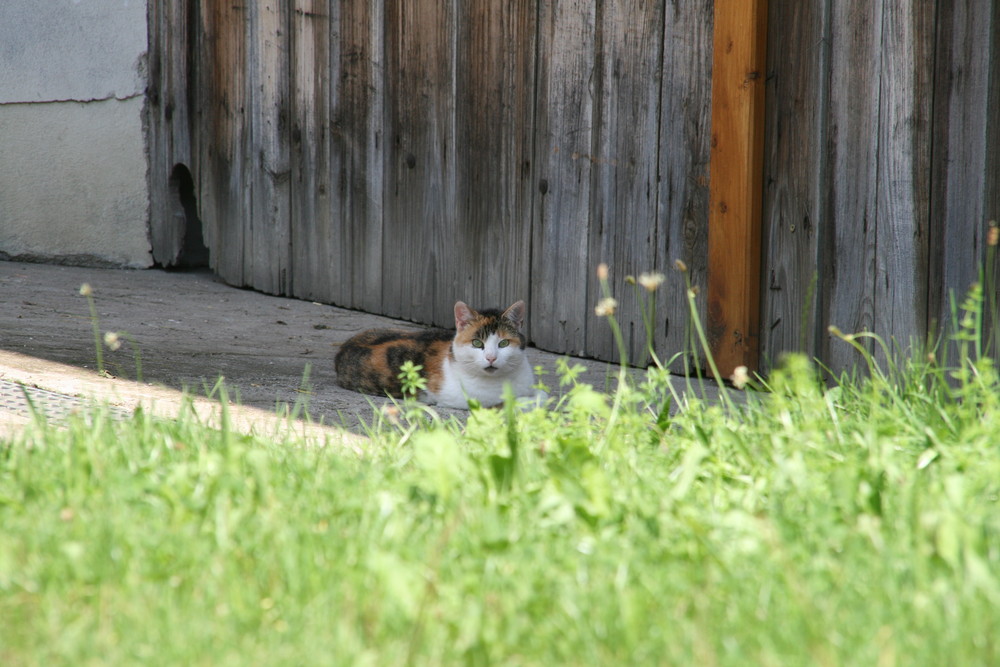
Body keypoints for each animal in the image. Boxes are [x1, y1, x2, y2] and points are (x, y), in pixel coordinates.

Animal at [336, 302, 544, 408]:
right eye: (477, 343)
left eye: (503, 343)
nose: (491, 358)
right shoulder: (464, 399)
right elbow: (512, 402)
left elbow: (541, 394)